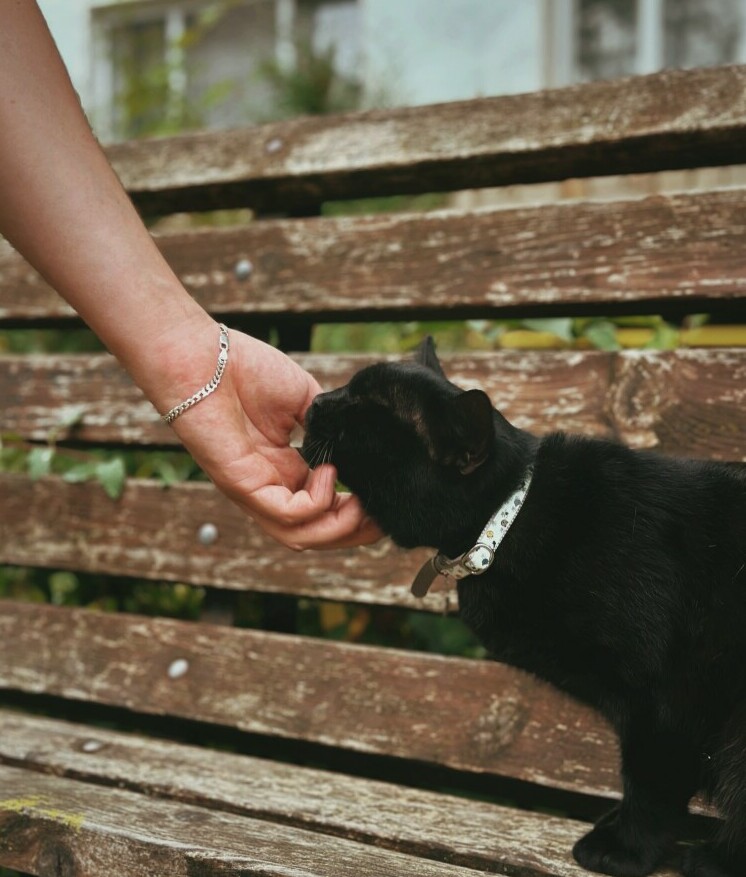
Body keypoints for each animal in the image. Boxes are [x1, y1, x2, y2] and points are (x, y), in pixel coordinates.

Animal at [300, 338, 744, 876]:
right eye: (349, 387)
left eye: (368, 408)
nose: (316, 400)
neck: (508, 517)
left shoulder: (666, 699)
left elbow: (651, 783)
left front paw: (625, 848)